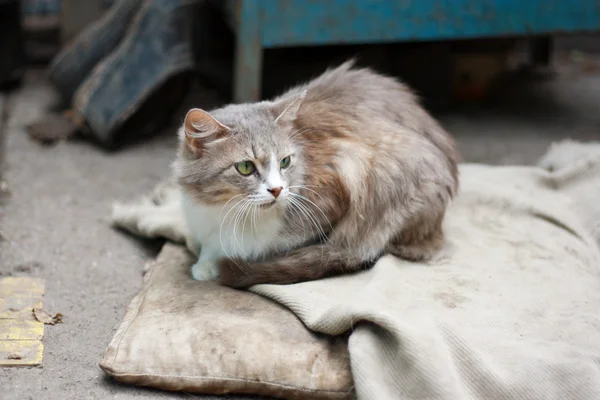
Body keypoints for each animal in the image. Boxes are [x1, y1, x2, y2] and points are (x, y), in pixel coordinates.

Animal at [173, 60, 460, 288]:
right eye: (245, 167)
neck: (229, 212)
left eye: (285, 162)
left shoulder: (338, 183)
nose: (277, 190)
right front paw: (206, 262)